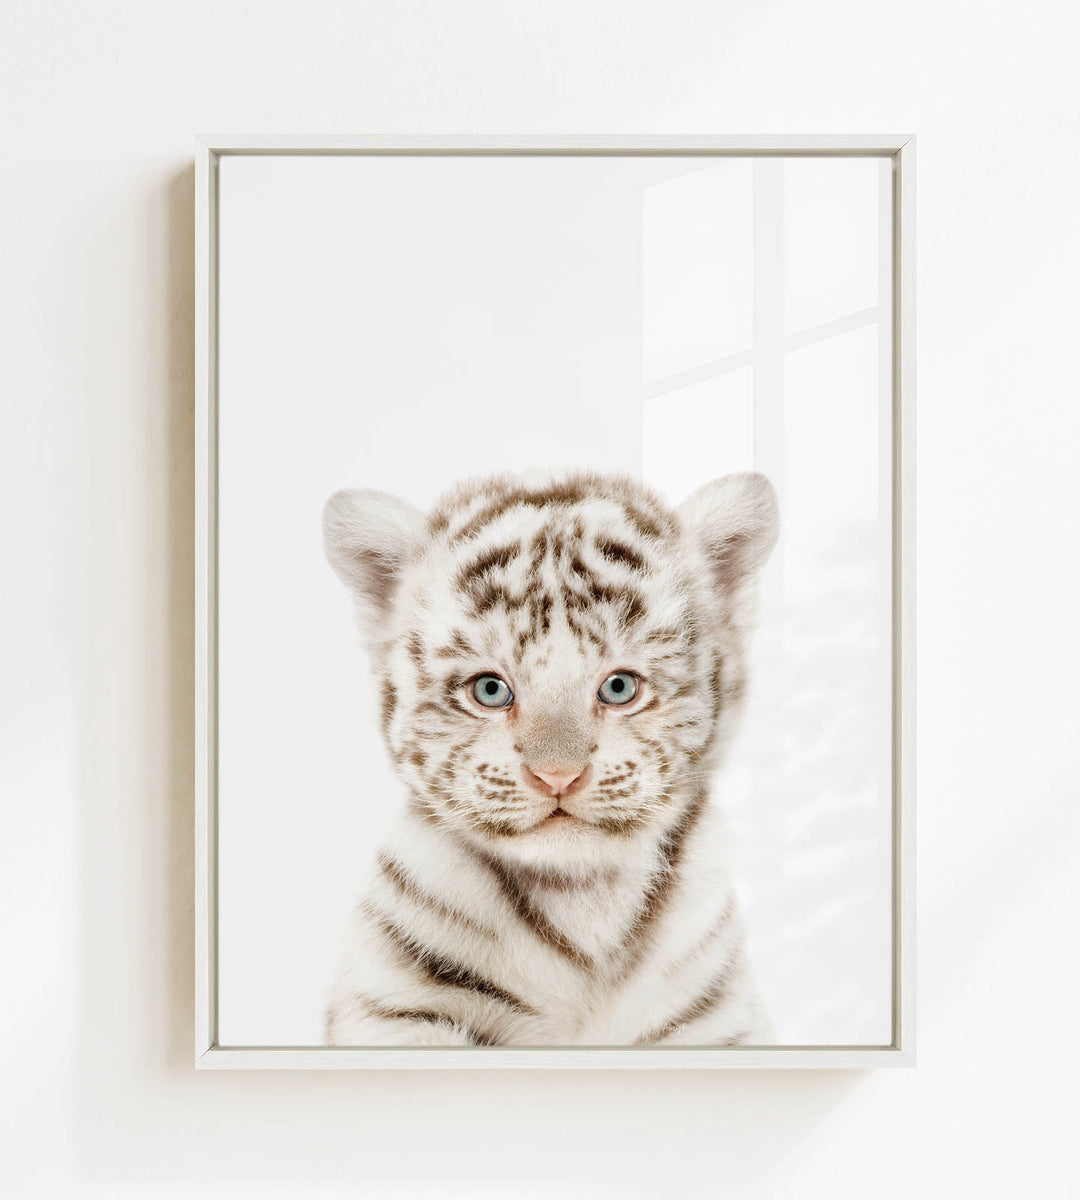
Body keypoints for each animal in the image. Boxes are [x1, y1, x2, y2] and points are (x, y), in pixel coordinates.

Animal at [321, 468, 779, 1047]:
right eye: (490, 690)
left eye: (620, 687)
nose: (557, 776)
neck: (583, 901)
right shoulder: (399, 1009)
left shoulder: (717, 1022)